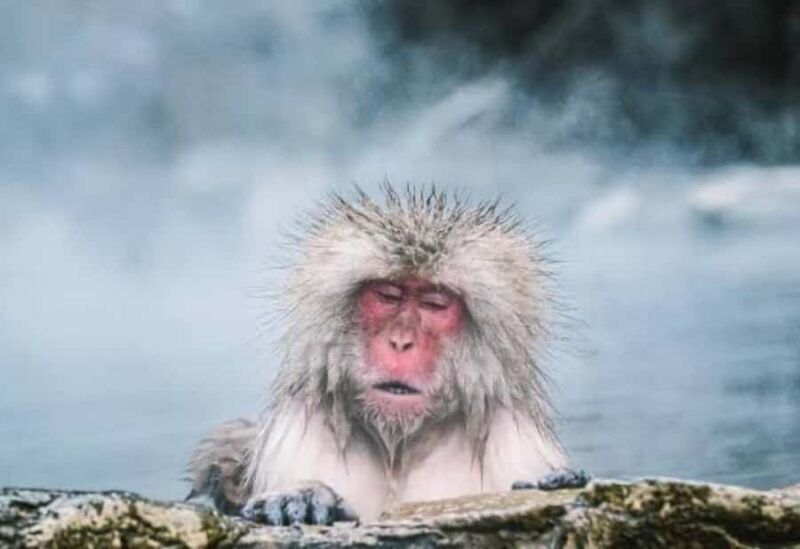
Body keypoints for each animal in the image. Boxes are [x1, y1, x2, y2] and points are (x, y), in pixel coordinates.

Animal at [187, 185, 589, 525]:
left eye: (434, 303)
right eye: (387, 296)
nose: (400, 342)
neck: (400, 446)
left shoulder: (517, 445)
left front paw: (556, 482)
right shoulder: (298, 433)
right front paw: (301, 496)